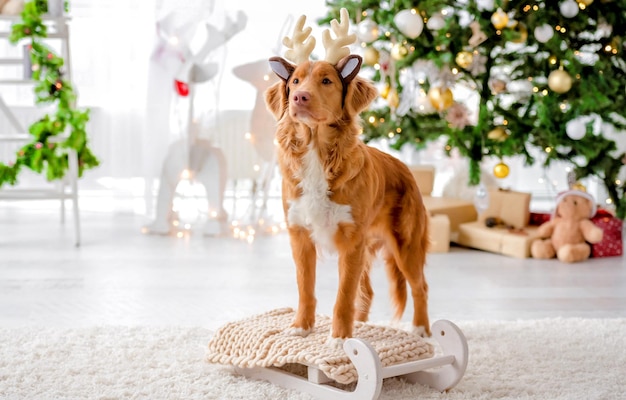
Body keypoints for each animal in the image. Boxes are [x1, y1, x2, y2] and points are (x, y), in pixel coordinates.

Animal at [264, 10, 428, 346]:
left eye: (326, 81)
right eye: (295, 81)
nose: (299, 97)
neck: (318, 154)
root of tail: (405, 168)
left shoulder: (351, 241)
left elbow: (343, 295)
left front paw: (340, 339)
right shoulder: (300, 236)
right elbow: (306, 287)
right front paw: (301, 326)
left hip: (406, 244)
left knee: (419, 286)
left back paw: (420, 328)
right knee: (367, 290)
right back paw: (363, 323)